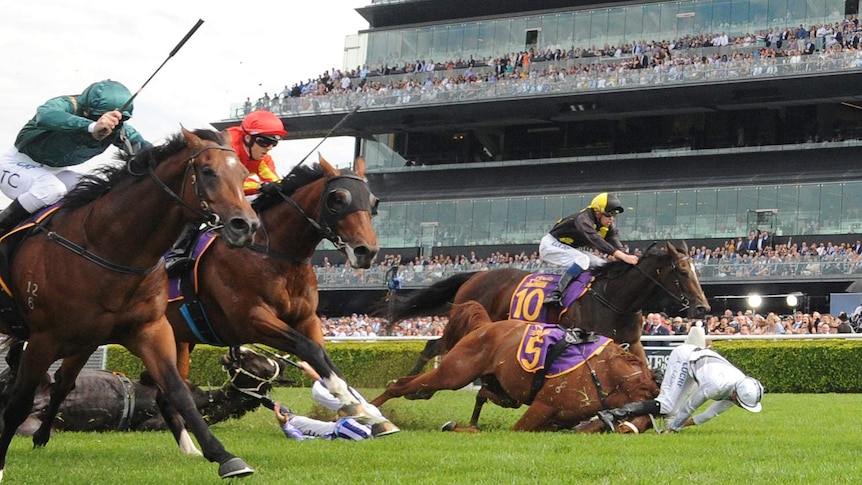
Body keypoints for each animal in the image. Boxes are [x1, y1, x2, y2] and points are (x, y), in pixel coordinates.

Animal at [0, 129, 260, 480]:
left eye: (244, 174)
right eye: (207, 171)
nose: (245, 226)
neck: (106, 247)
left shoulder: (149, 329)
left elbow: (178, 391)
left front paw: (224, 457)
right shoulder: (43, 338)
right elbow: (18, 402)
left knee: (63, 384)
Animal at [368, 302, 660, 432]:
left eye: (647, 425)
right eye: (632, 422)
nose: (625, 431)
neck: (604, 375)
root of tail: (485, 326)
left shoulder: (559, 419)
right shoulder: (542, 407)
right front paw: (456, 426)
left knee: (485, 394)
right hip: (454, 373)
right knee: (401, 385)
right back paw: (372, 407)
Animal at [388, 240, 712, 372]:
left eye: (696, 271)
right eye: (683, 273)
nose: (703, 309)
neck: (614, 297)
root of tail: (476, 275)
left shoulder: (631, 343)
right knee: (434, 346)